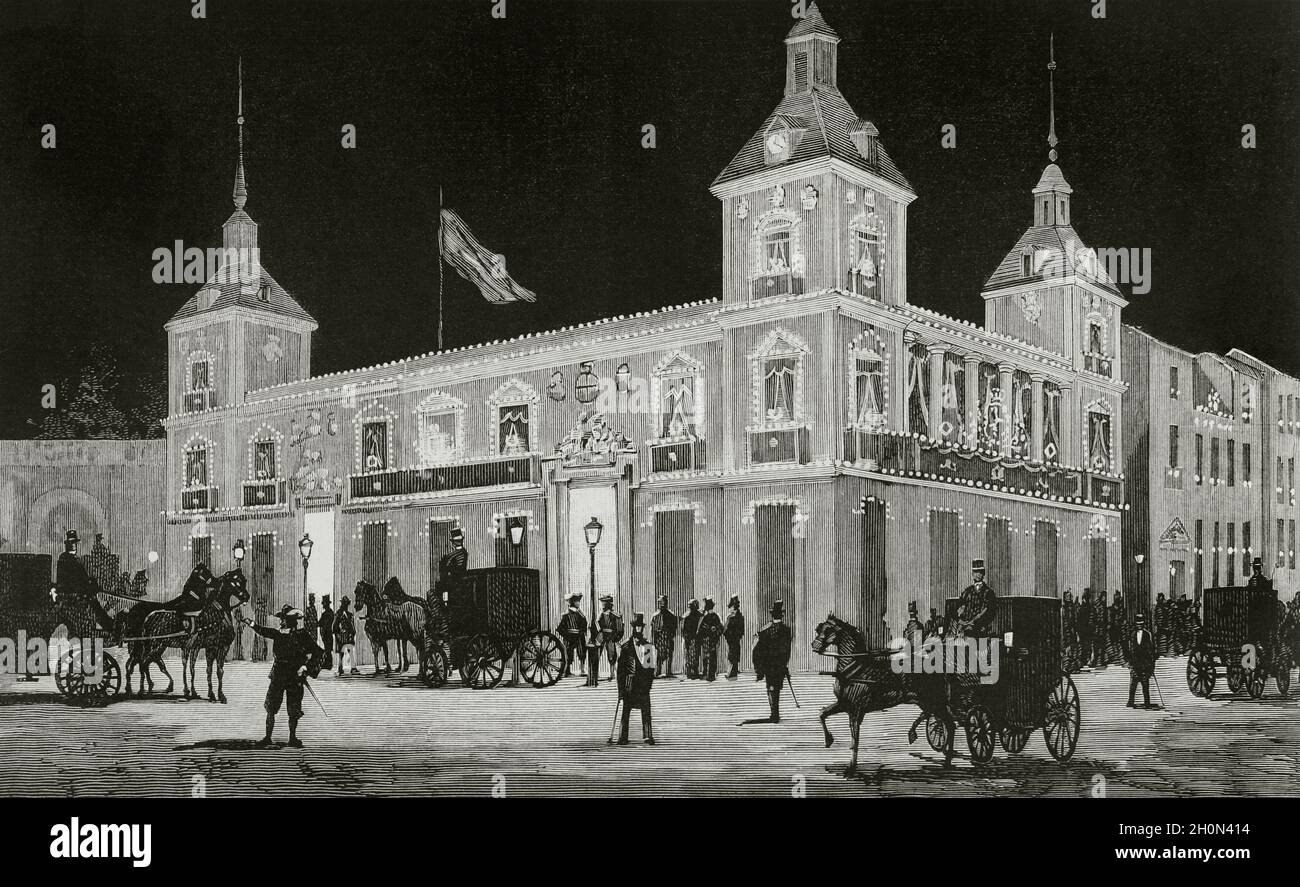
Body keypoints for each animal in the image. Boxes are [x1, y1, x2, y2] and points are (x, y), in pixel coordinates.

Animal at [128, 567, 248, 697]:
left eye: (244, 581)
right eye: (235, 582)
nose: (247, 597)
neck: (216, 616)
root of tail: (148, 618)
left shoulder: (214, 647)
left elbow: (212, 670)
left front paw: (213, 694)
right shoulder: (210, 647)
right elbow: (203, 669)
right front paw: (208, 693)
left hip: (155, 647)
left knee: (143, 663)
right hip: (155, 646)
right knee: (143, 663)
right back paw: (146, 688)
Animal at [806, 611, 961, 769]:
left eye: (828, 630)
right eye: (819, 629)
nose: (814, 645)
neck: (855, 668)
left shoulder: (856, 710)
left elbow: (855, 738)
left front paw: (852, 765)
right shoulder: (844, 704)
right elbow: (822, 713)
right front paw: (828, 740)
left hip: (932, 702)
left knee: (949, 724)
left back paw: (947, 758)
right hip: (925, 702)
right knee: (939, 720)